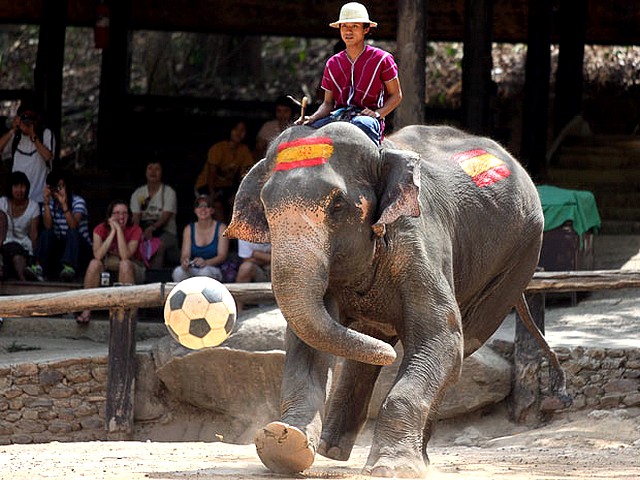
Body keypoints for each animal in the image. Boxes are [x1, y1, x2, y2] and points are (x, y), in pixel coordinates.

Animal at [224, 122, 544, 478]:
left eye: (337, 206)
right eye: (266, 206)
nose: (390, 356)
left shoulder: (418, 242)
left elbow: (442, 339)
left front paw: (391, 467)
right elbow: (306, 343)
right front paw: (285, 444)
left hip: (518, 260)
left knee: (464, 344)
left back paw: (418, 459)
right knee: (367, 344)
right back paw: (333, 449)